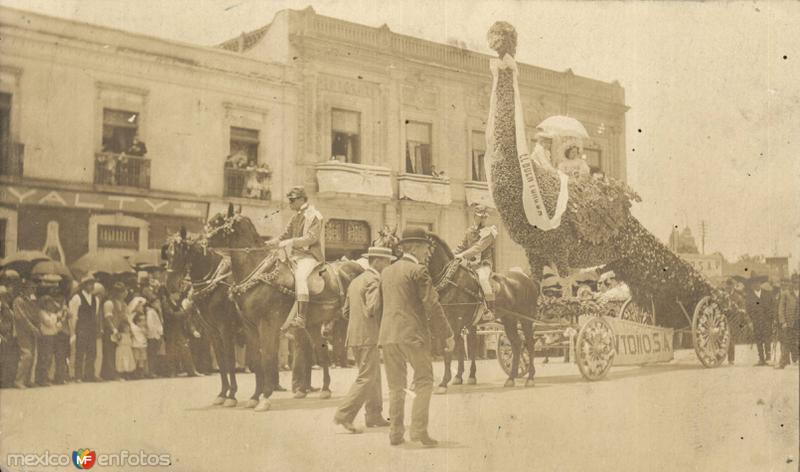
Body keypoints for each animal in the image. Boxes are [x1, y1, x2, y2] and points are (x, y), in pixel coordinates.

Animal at [161, 228, 239, 406]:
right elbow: (221, 360)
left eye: (181, 253)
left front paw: (232, 395)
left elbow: (229, 359)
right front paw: (223, 393)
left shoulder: (226, 329)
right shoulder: (212, 331)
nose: (170, 285)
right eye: (167, 253)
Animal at [203, 206, 362, 410]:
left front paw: (265, 397)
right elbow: (256, 359)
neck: (257, 273)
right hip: (313, 324)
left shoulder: (266, 325)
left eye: (221, 224)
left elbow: (267, 358)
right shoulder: (248, 327)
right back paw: (325, 389)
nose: (204, 240)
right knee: (322, 351)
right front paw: (255, 396)